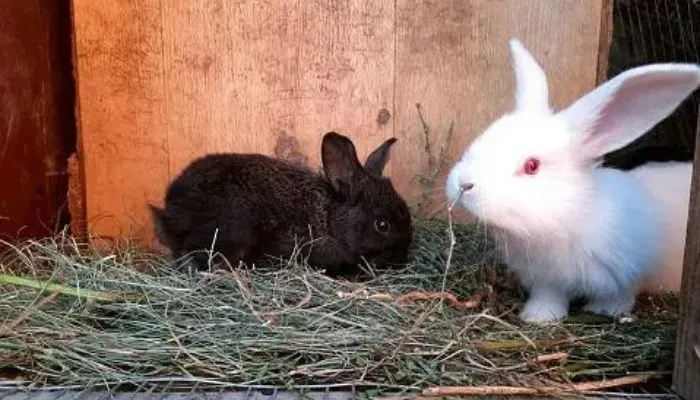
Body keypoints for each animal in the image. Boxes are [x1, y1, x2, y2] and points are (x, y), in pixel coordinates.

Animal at [446, 38, 696, 324]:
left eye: (532, 166)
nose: (463, 184)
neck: (569, 216)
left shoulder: (631, 271)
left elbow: (620, 295)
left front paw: (605, 310)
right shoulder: (547, 279)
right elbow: (549, 296)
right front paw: (538, 316)